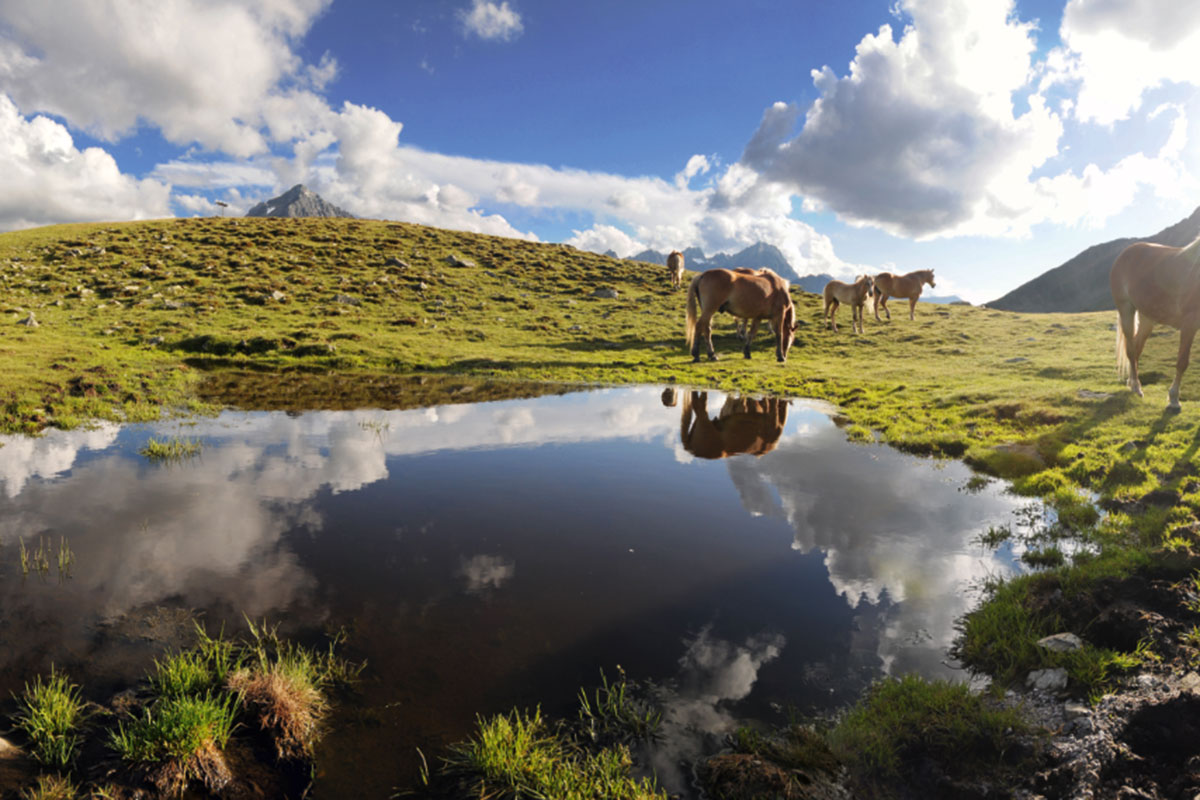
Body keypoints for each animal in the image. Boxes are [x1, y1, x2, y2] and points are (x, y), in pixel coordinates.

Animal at [1108, 236, 1200, 412]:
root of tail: (1125, 253)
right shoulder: (1189, 322)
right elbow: (1182, 362)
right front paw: (1173, 400)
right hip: (1126, 310)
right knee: (1131, 350)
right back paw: (1136, 387)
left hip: (1147, 318)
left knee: (1136, 348)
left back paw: (1132, 383)